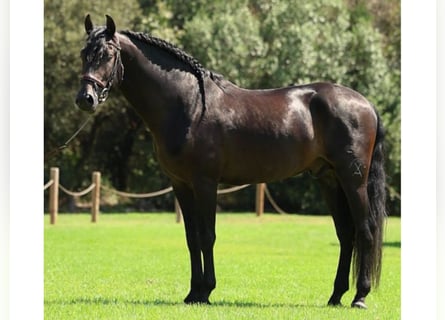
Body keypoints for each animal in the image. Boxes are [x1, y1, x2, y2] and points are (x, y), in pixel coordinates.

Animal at [76, 15, 386, 308]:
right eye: (83, 53)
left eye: (106, 54)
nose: (85, 99)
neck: (188, 105)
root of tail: (366, 104)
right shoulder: (180, 184)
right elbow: (191, 238)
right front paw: (193, 292)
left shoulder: (205, 183)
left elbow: (207, 235)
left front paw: (206, 291)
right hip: (329, 179)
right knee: (346, 234)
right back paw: (336, 295)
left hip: (353, 180)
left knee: (365, 231)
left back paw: (360, 296)